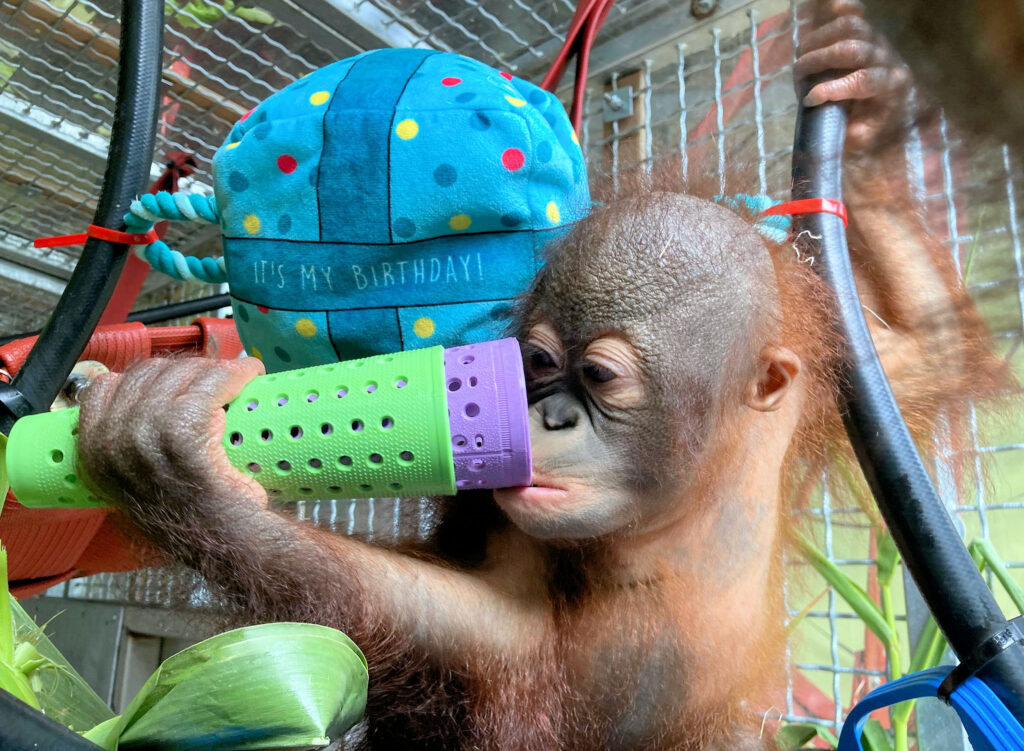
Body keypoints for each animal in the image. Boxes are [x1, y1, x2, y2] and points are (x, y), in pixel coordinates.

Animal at [74, 4, 1002, 749]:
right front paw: (181, 473)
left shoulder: (803, 387)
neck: (689, 489)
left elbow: (924, 356)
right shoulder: (508, 529)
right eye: (542, 365)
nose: (548, 418)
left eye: (598, 376)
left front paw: (865, 92)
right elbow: (482, 624)